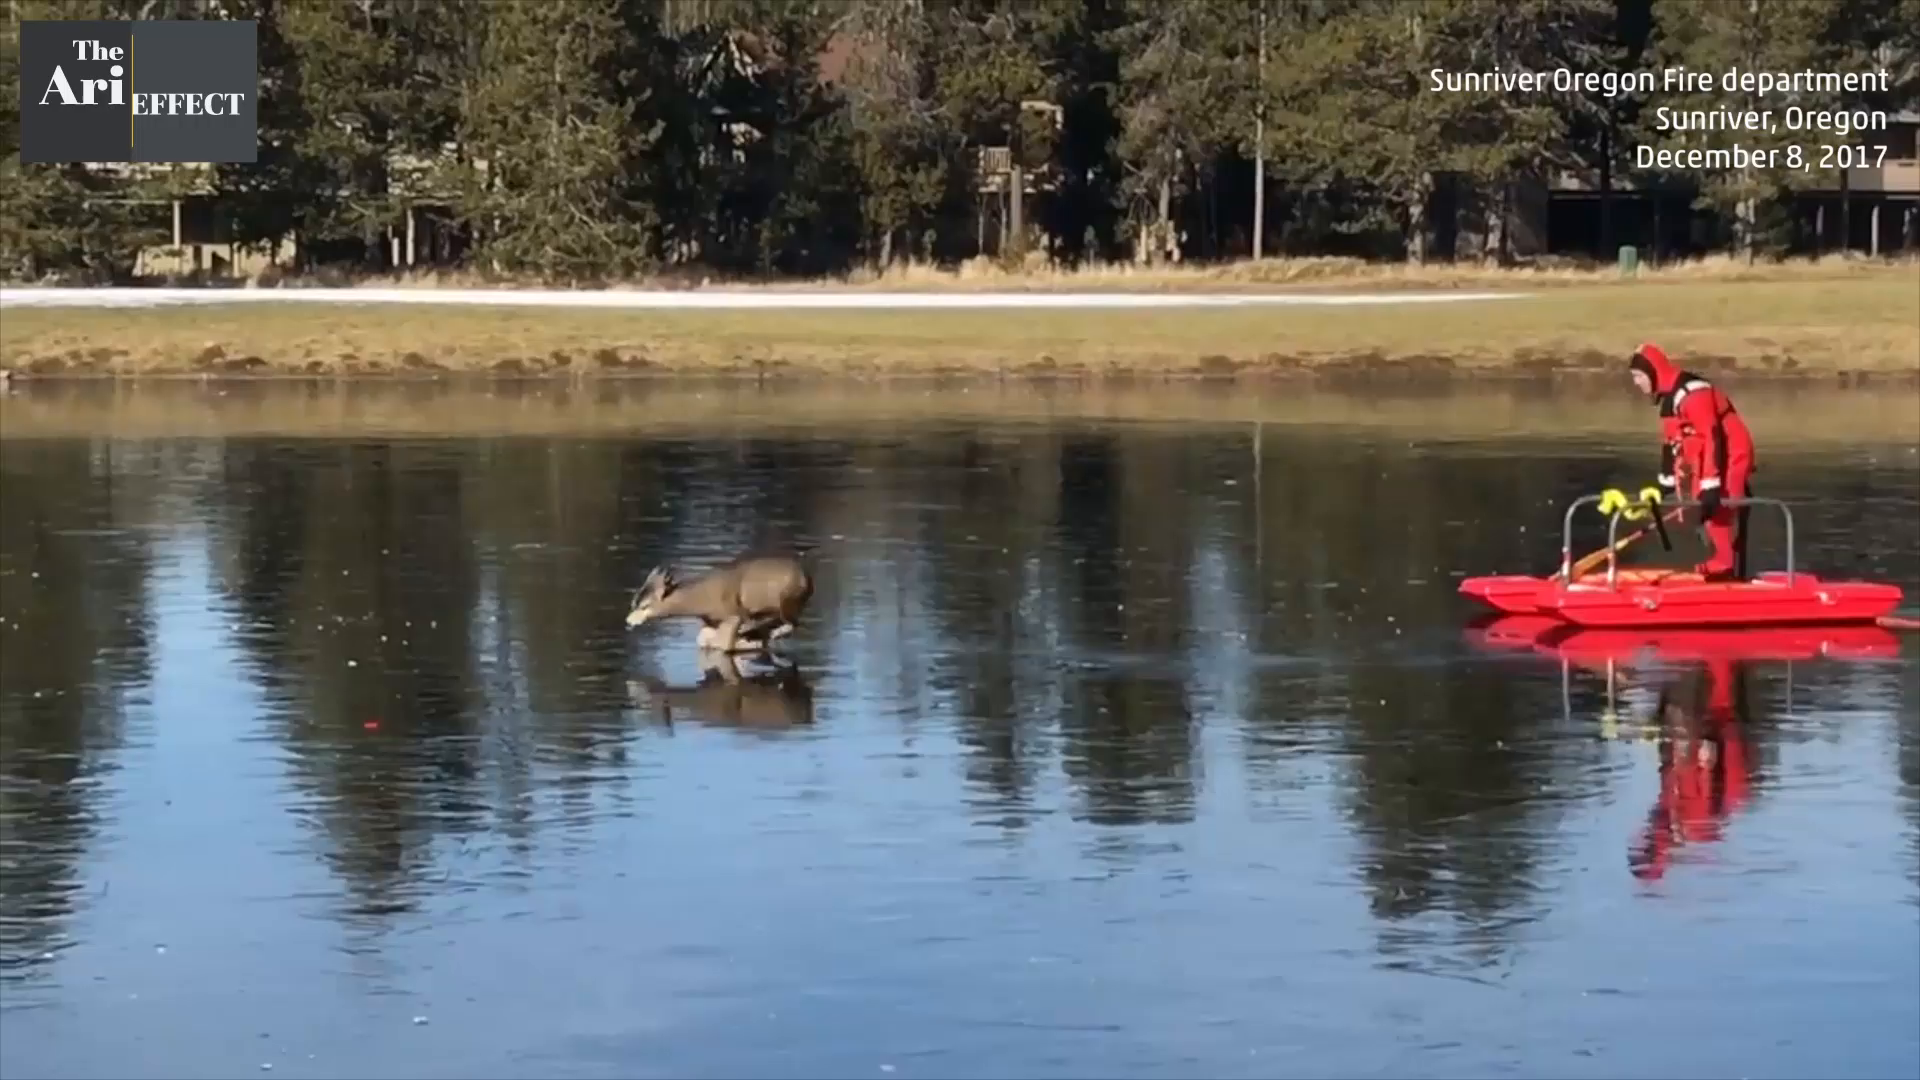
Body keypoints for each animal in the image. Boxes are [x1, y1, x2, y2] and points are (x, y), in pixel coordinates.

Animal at [623, 552, 815, 654]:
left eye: (645, 606)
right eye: (633, 603)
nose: (628, 621)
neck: (700, 600)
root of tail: (808, 579)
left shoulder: (732, 614)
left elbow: (725, 646)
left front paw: (746, 642)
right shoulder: (710, 620)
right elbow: (703, 640)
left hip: (788, 601)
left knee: (791, 622)